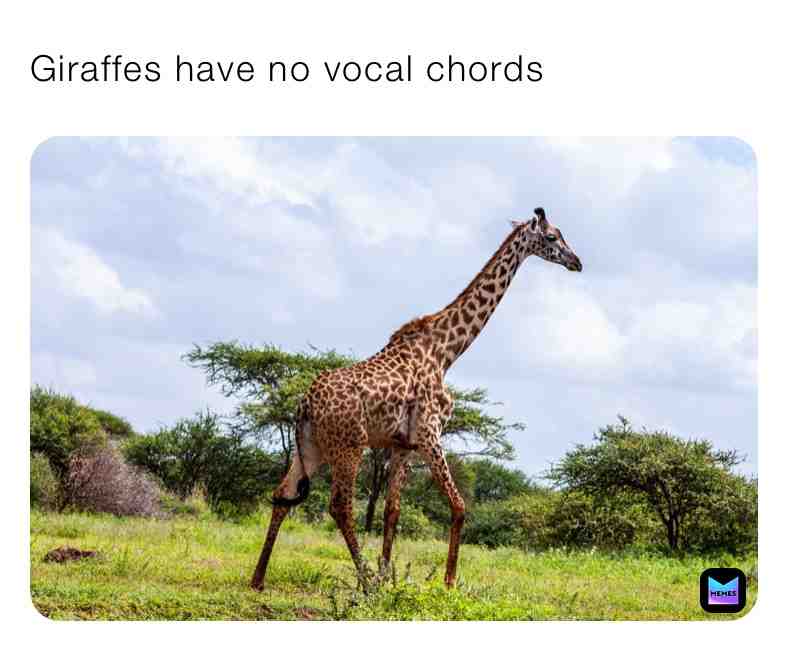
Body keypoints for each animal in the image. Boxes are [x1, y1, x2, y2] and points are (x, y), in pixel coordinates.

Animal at [250, 207, 582, 591]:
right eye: (552, 237)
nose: (577, 262)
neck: (446, 351)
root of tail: (304, 404)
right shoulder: (430, 433)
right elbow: (459, 506)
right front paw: (447, 582)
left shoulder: (402, 445)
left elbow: (391, 510)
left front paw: (388, 576)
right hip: (349, 445)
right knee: (339, 506)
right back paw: (364, 582)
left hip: (312, 446)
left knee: (283, 495)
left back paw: (259, 579)